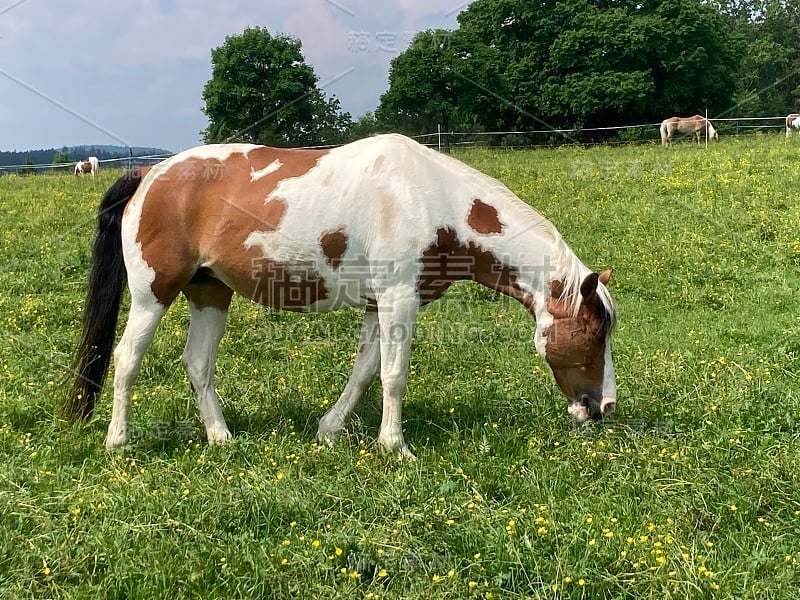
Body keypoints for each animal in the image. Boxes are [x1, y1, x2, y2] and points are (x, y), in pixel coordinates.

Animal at [67, 134, 620, 458]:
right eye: (594, 334)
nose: (604, 407)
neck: (431, 198)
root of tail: (151, 175)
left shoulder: (380, 306)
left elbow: (365, 371)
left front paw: (330, 430)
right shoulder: (399, 300)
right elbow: (394, 376)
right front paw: (395, 448)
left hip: (210, 293)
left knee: (198, 363)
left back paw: (220, 437)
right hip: (152, 296)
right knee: (127, 359)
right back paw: (117, 441)